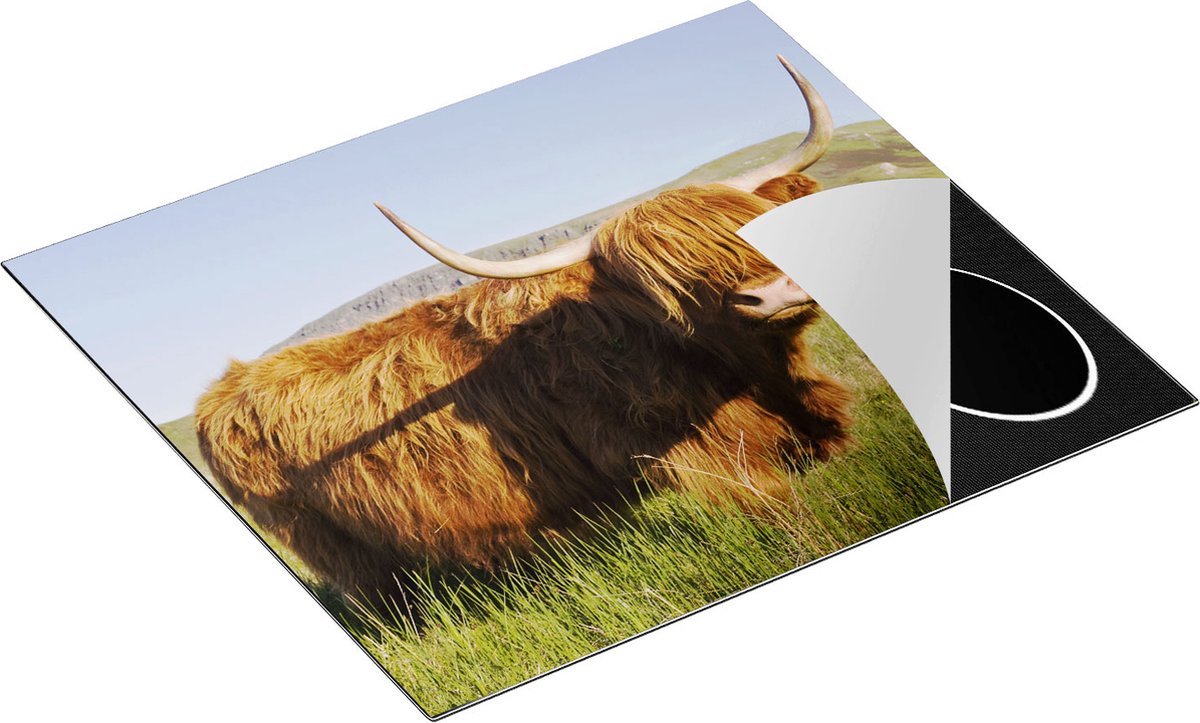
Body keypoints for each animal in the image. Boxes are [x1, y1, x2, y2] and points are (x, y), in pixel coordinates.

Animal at [195, 56, 853, 602]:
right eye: (657, 279)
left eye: (747, 223)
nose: (770, 296)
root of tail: (218, 393)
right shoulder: (702, 451)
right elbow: (781, 511)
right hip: (336, 551)